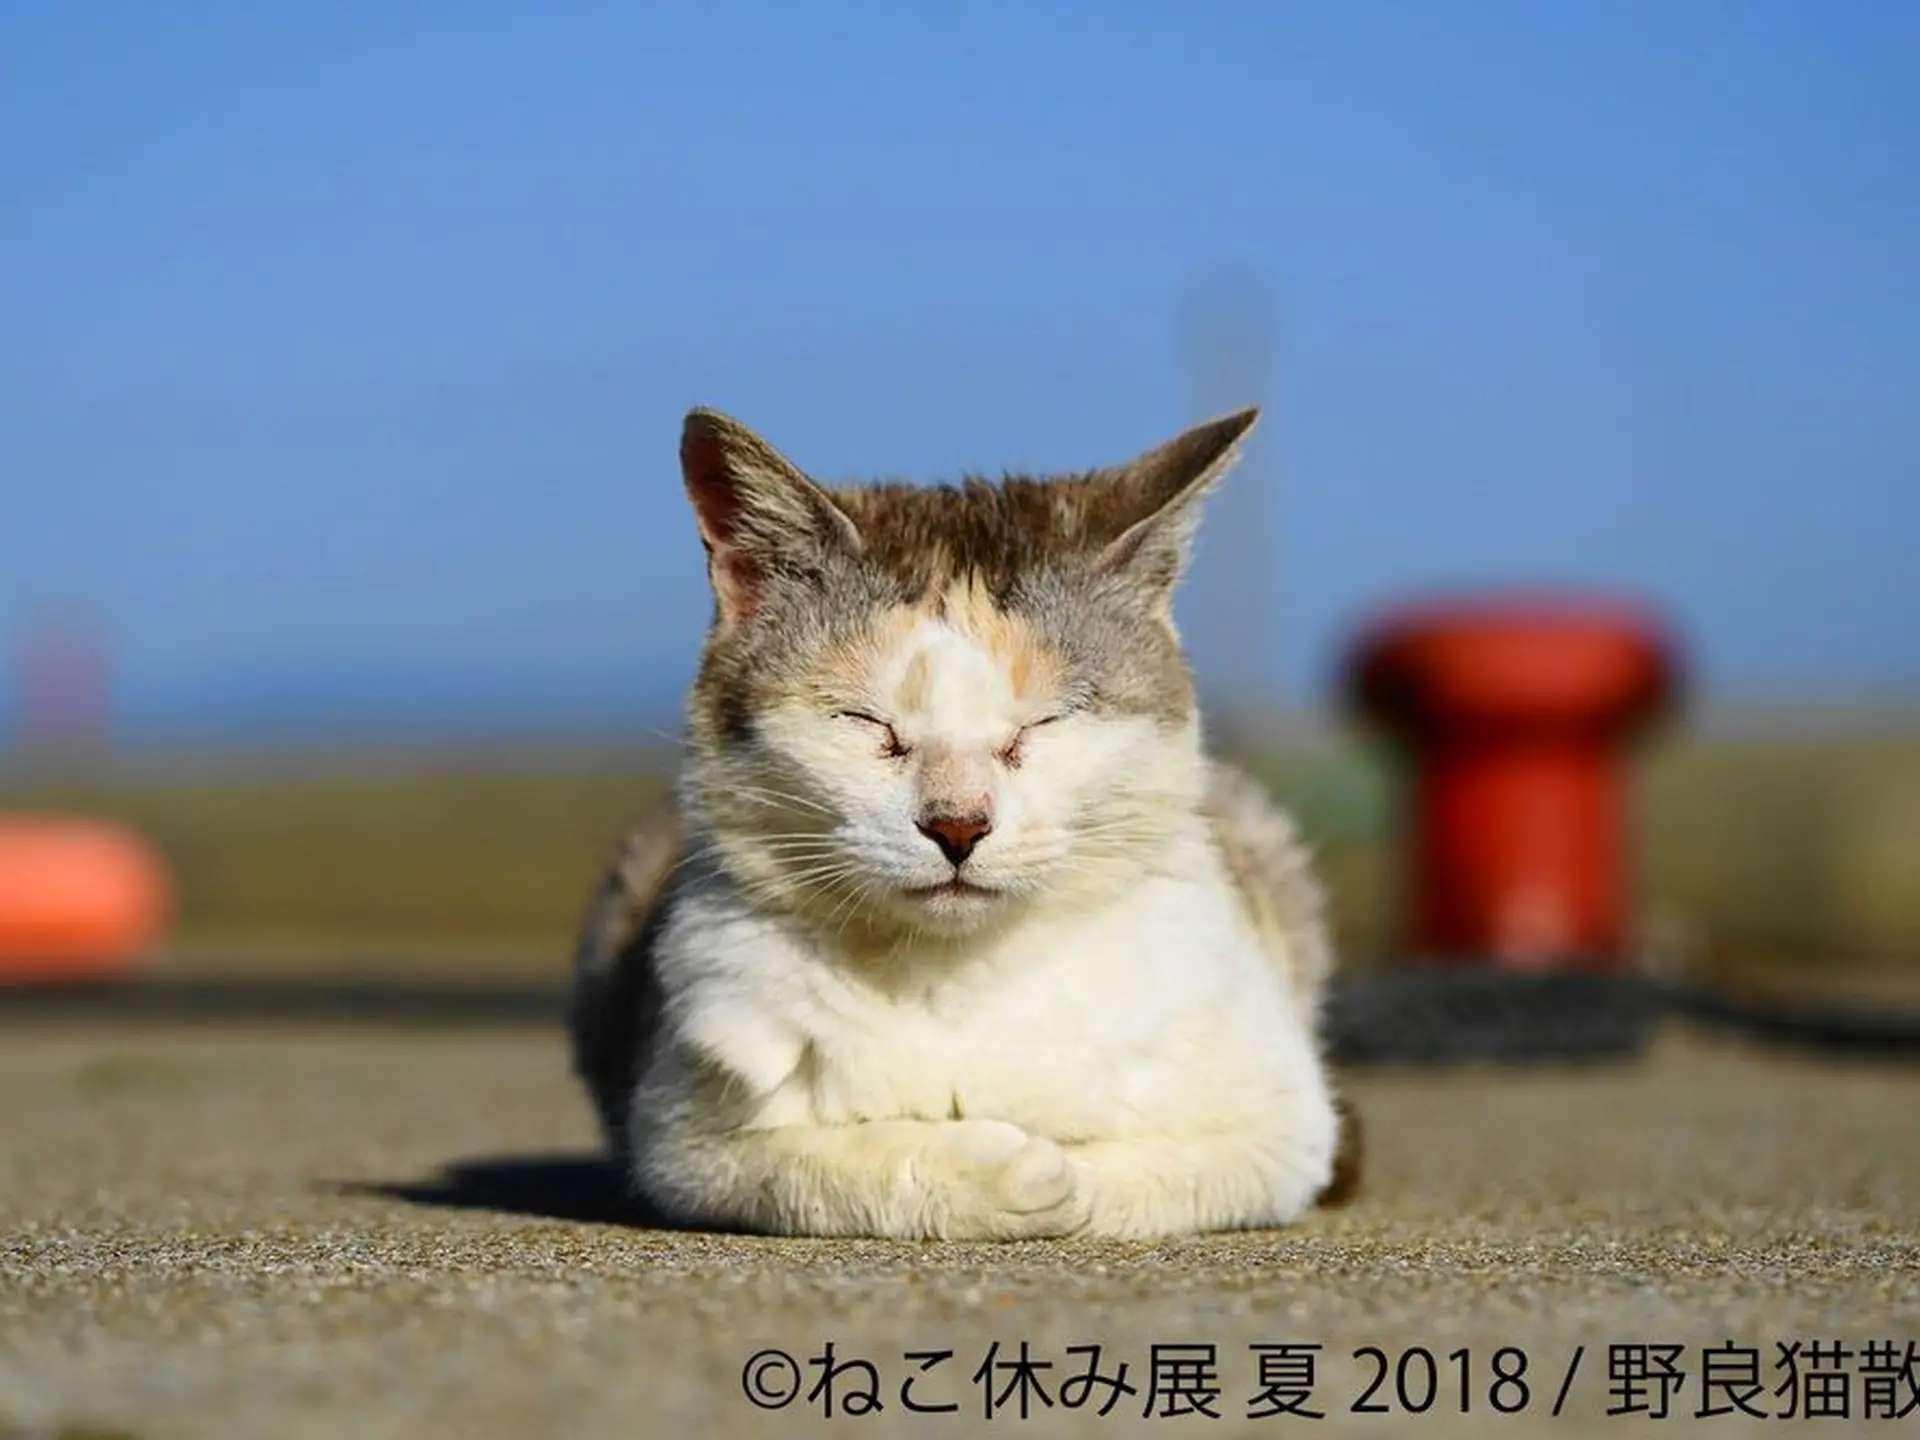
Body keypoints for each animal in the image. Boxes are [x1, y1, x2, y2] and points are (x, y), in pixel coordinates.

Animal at [560, 407, 1359, 1244]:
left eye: (1043, 724)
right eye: (865, 722)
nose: (957, 826)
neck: (956, 974)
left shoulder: (1286, 1126)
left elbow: (1153, 1173)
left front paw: (1059, 1173)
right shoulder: (685, 1142)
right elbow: (825, 1166)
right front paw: (1010, 1173)